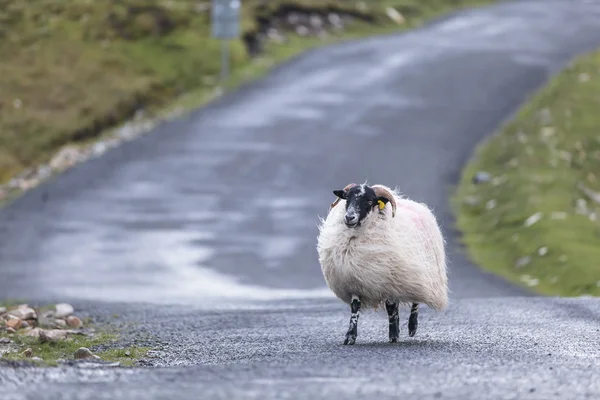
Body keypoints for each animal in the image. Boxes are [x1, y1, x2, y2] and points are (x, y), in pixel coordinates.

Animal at [316, 183, 448, 346]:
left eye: (369, 200)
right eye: (347, 198)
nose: (349, 217)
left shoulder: (389, 279)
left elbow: (390, 308)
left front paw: (393, 335)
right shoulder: (354, 280)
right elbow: (355, 308)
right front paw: (350, 336)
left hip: (420, 272)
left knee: (416, 300)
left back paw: (412, 327)